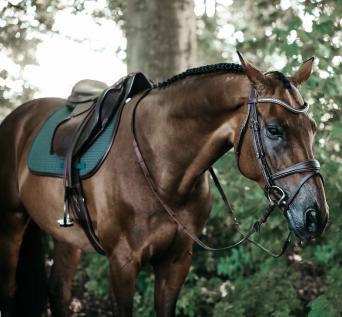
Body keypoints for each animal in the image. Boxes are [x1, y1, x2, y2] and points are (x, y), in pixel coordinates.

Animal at [0, 52, 328, 316]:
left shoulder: (176, 261)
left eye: (312, 128)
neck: (162, 169)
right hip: (12, 226)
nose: (316, 216)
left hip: (66, 238)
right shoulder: (122, 264)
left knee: (58, 292)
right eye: (274, 130)